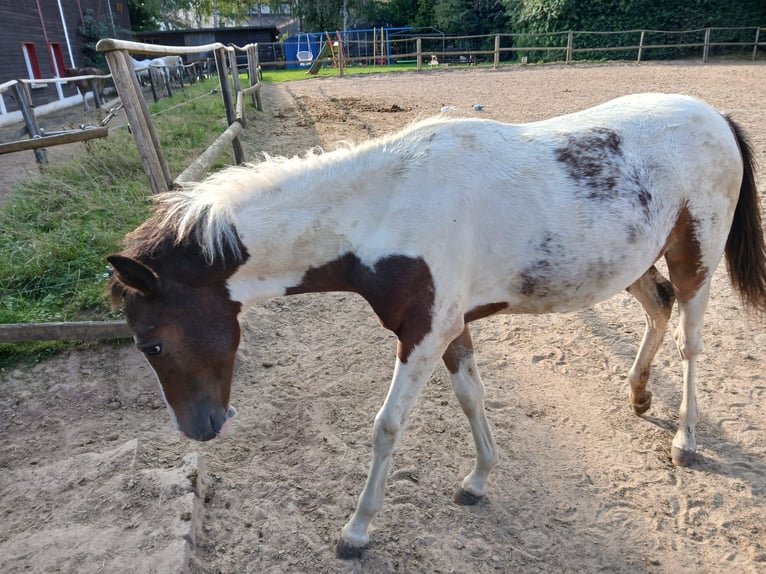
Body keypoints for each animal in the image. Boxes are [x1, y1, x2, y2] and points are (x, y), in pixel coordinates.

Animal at [108, 93, 766, 560]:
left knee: (691, 340)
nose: (200, 428)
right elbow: (472, 395)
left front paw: (357, 530)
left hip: (696, 260)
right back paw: (637, 395)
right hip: (635, 264)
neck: (385, 207)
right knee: (657, 307)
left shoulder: (423, 334)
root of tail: (715, 116)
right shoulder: (450, 327)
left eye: (152, 343)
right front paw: (479, 479)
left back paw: (685, 440)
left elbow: (387, 427)